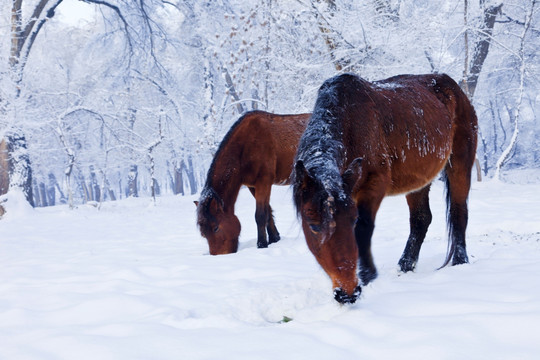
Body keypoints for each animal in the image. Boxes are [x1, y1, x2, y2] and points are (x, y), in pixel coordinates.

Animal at [196, 111, 310, 255]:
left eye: (216, 228)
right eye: (203, 233)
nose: (219, 255)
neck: (244, 146)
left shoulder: (264, 182)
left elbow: (260, 215)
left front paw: (262, 244)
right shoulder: (253, 186)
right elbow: (268, 211)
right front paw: (274, 238)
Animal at [296, 73, 476, 304]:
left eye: (351, 220)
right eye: (313, 226)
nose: (347, 293)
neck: (350, 124)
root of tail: (452, 86)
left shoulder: (374, 185)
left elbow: (364, 229)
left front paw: (367, 275)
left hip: (460, 164)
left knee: (458, 212)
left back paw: (460, 261)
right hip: (419, 181)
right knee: (421, 219)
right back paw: (405, 266)